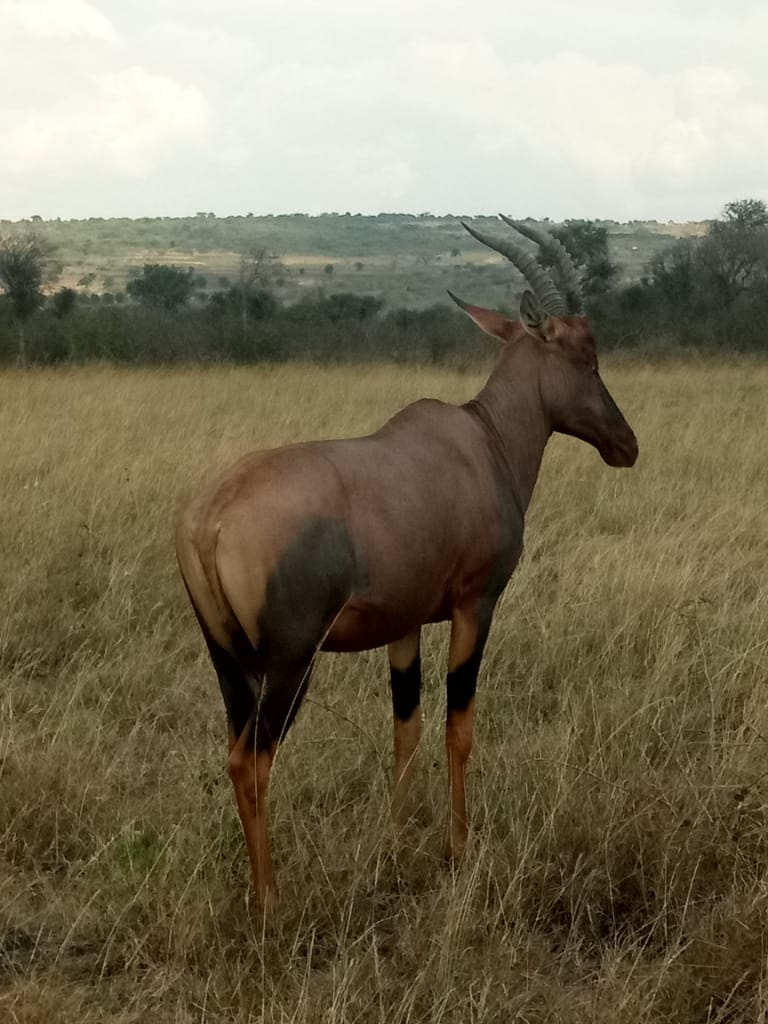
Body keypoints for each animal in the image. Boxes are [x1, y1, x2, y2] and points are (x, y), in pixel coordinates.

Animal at [176, 217, 638, 906]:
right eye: (587, 356)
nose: (626, 445)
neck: (481, 441)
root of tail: (212, 517)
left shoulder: (405, 623)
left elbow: (406, 727)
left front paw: (394, 840)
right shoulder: (475, 605)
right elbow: (458, 726)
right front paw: (458, 848)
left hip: (229, 659)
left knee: (235, 750)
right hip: (290, 660)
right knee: (251, 760)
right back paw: (271, 903)